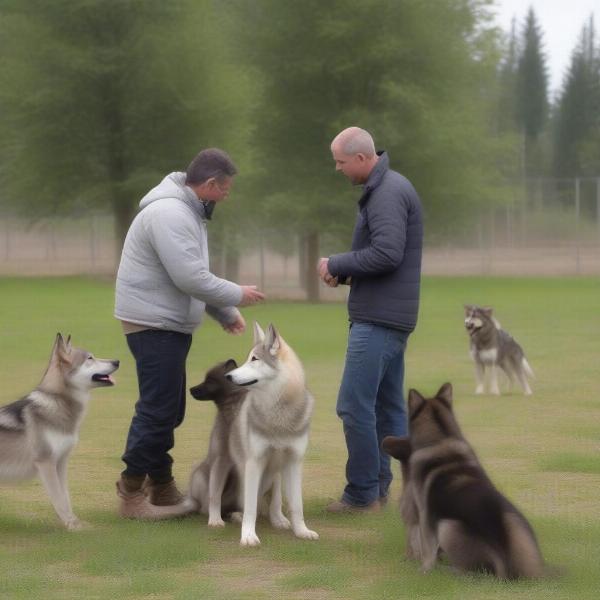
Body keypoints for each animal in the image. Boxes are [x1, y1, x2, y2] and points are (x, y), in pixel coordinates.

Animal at [0, 332, 119, 528]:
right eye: (90, 358)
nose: (117, 361)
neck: (56, 402)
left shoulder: (61, 462)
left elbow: (65, 497)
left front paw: (74, 523)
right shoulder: (46, 462)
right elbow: (59, 499)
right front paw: (73, 526)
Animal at [384, 384, 544, 576]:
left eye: (406, 436)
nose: (385, 439)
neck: (442, 439)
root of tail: (506, 569)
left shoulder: (426, 516)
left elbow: (427, 549)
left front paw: (424, 570)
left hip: (447, 526)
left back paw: (452, 570)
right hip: (515, 523)